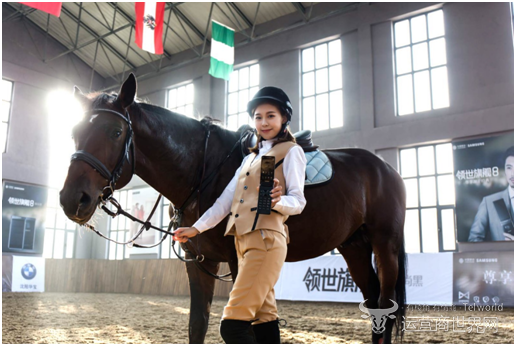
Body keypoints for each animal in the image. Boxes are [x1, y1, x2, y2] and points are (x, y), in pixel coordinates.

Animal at [60, 74, 408, 344]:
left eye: (116, 132)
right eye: (74, 132)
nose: (71, 200)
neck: (203, 172)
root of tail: (384, 168)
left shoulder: (239, 262)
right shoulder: (199, 262)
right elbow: (197, 325)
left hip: (384, 244)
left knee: (385, 304)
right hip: (354, 246)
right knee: (374, 304)